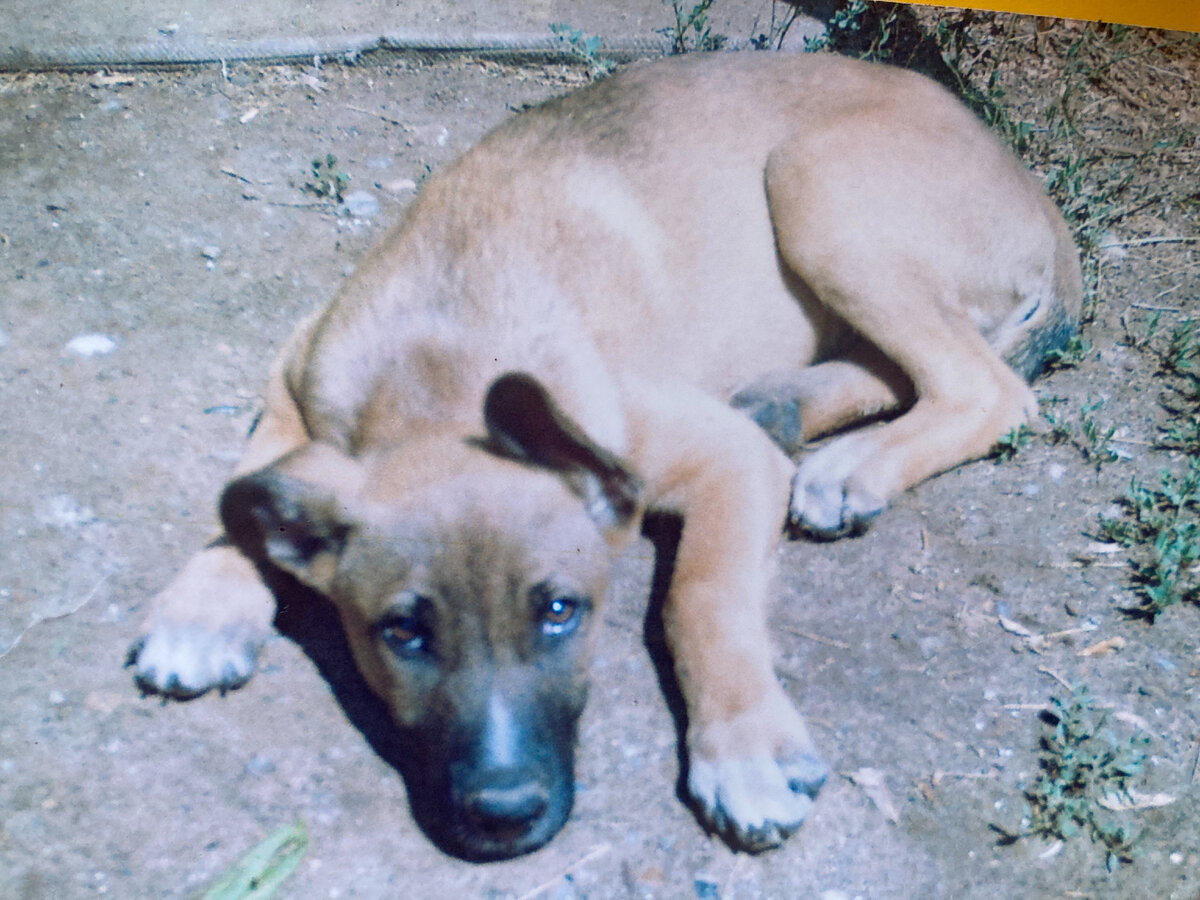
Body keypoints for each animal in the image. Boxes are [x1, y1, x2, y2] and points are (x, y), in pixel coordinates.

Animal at [126, 51, 1084, 868]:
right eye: (401, 634)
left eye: (561, 614)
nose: (505, 816)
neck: (439, 367)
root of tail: (1038, 197)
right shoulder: (294, 374)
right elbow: (242, 494)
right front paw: (204, 607)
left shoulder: (719, 458)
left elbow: (702, 599)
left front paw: (744, 750)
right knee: (903, 366)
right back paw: (788, 403)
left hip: (816, 186)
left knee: (989, 388)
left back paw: (851, 466)